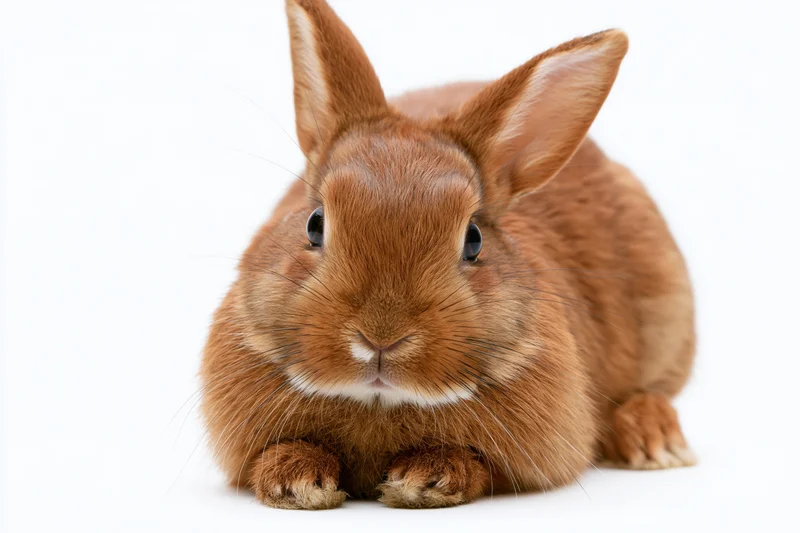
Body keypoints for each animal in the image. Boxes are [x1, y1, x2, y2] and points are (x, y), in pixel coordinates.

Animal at [200, 0, 696, 510]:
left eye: (473, 239)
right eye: (314, 224)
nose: (381, 338)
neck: (378, 402)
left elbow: (478, 465)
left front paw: (424, 478)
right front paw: (298, 481)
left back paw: (655, 442)